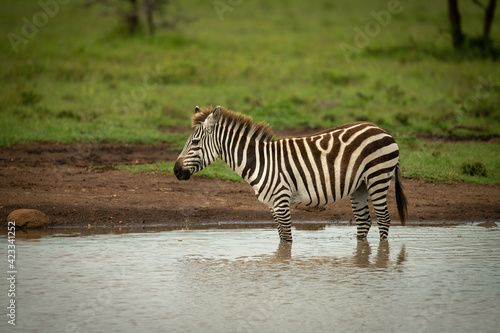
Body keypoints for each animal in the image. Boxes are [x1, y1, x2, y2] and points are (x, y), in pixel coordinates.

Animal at [174, 105, 408, 241]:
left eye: (195, 142)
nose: (176, 171)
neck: (260, 161)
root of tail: (383, 130)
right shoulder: (272, 205)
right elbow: (281, 238)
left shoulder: (281, 200)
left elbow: (286, 240)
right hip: (360, 186)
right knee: (364, 221)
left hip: (378, 177)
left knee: (384, 220)